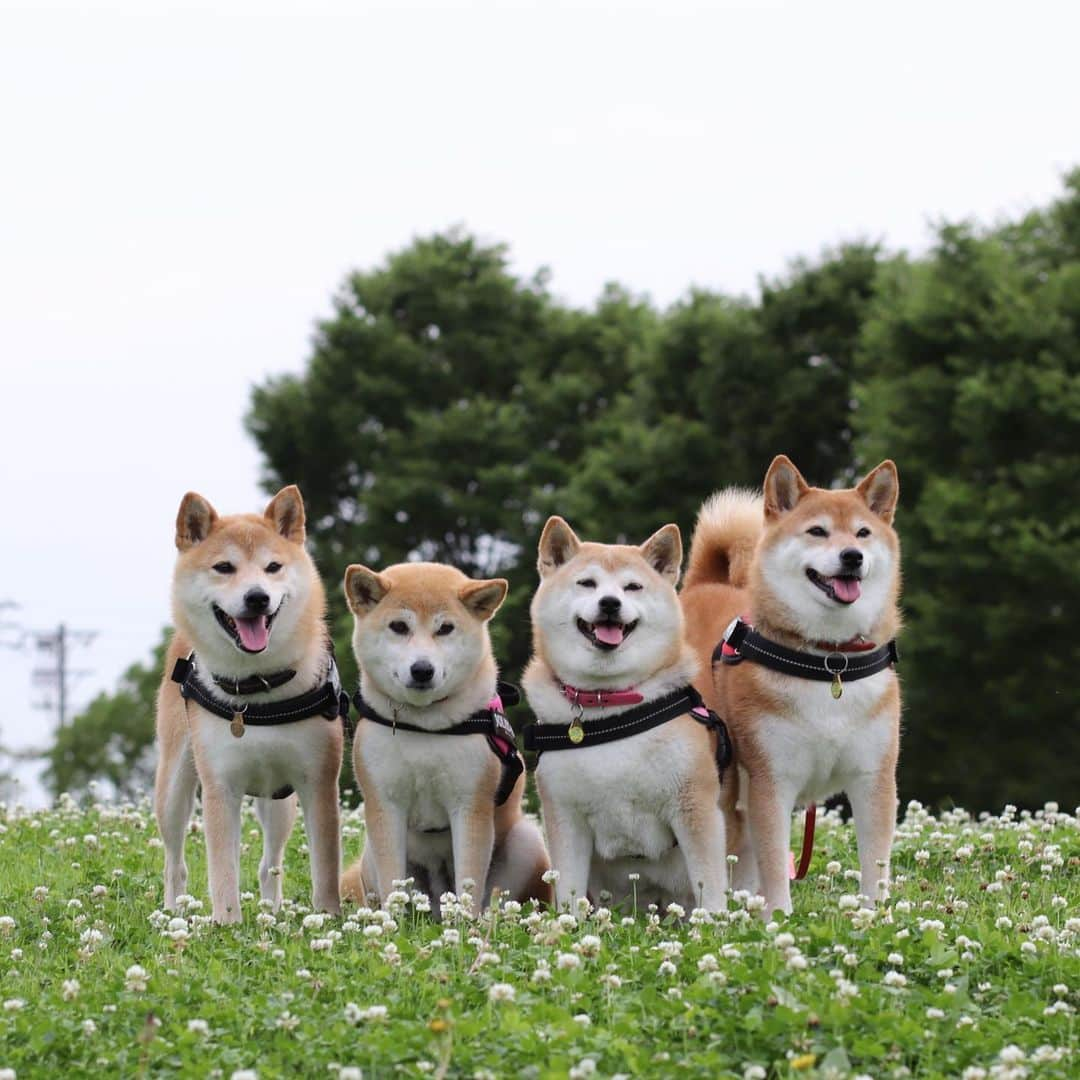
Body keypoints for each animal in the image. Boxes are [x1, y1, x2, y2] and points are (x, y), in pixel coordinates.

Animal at [153, 488, 341, 920]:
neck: (258, 690)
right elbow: (223, 872)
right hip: (173, 788)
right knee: (175, 863)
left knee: (270, 863)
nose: (257, 597)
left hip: (280, 805)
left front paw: (329, 918)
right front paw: (226, 923)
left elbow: (325, 867)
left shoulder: (318, 781)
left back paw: (274, 910)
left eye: (273, 567)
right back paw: (172, 912)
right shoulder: (221, 786)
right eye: (224, 567)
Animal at [341, 561, 552, 915]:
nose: (422, 669)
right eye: (399, 626)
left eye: (445, 629)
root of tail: (438, 907)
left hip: (527, 841)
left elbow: (469, 876)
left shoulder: (470, 805)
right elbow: (391, 879)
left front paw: (466, 923)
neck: (425, 726)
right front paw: (390, 923)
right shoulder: (384, 805)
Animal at [520, 514, 730, 911]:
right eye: (587, 583)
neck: (611, 705)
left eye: (632, 587)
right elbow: (568, 893)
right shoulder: (565, 817)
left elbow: (710, 886)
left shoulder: (694, 805)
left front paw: (716, 923)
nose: (610, 603)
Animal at [682, 451, 902, 915]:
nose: (852, 555)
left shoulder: (873, 776)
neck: (827, 661)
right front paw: (778, 917)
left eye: (863, 532)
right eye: (817, 530)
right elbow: (772, 861)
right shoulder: (772, 780)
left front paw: (876, 915)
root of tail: (704, 585)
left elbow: (875, 862)